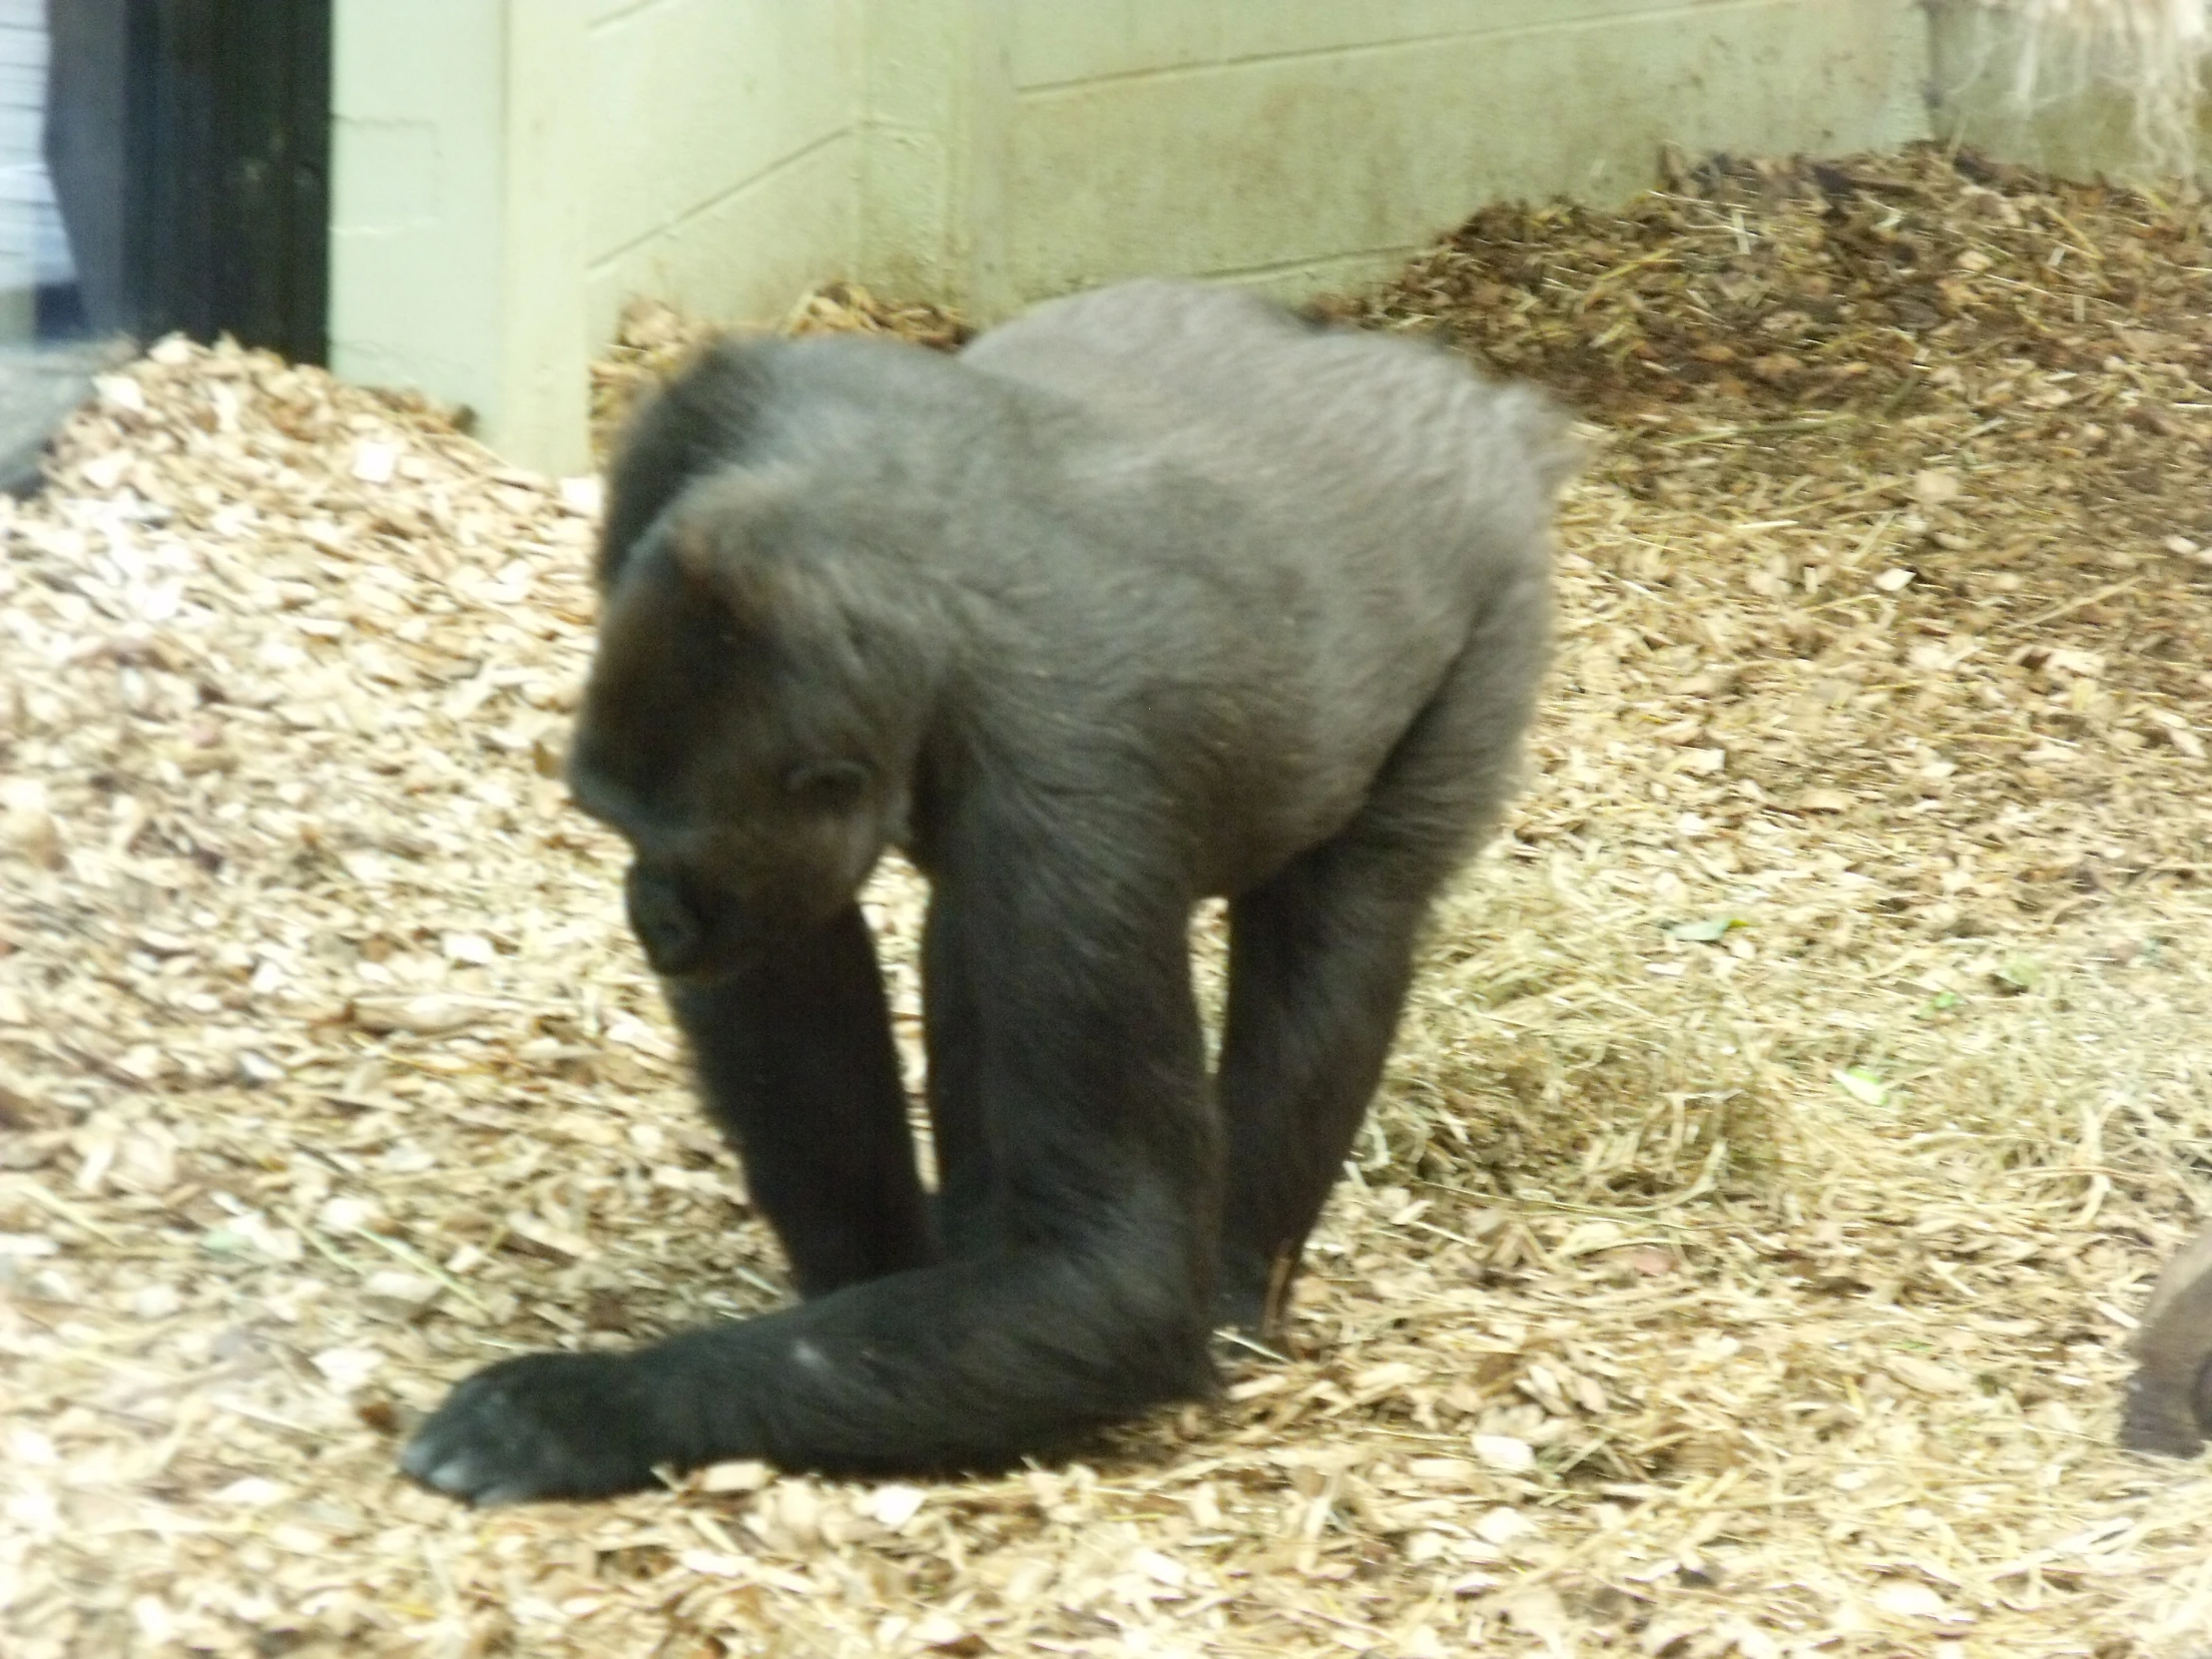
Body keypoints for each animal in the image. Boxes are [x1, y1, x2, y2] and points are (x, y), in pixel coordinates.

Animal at [402, 276, 1574, 1503]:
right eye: (610, 824)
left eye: (662, 846)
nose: (653, 917)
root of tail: (1462, 392)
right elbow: (793, 983)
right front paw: (877, 1276)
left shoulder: (1072, 811)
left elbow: (1116, 1274)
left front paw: (587, 1409)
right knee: (968, 939)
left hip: (1498, 595)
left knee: (1341, 932)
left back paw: (1235, 1290)